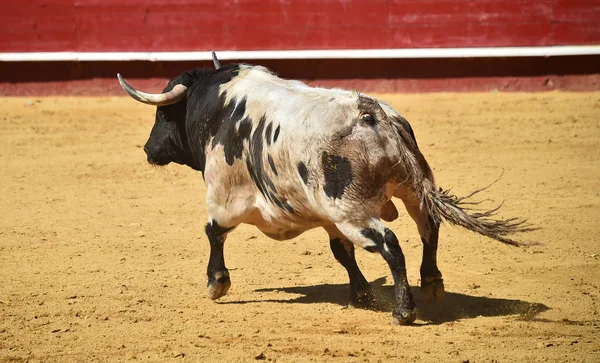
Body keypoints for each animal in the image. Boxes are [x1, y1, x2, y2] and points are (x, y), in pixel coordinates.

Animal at [117, 54, 536, 328]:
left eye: (162, 114)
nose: (148, 149)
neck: (219, 108)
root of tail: (371, 114)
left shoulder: (224, 196)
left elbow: (213, 232)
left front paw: (216, 283)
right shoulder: (326, 217)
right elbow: (341, 252)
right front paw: (361, 294)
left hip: (352, 210)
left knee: (390, 244)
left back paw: (404, 311)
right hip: (409, 191)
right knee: (428, 228)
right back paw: (431, 284)